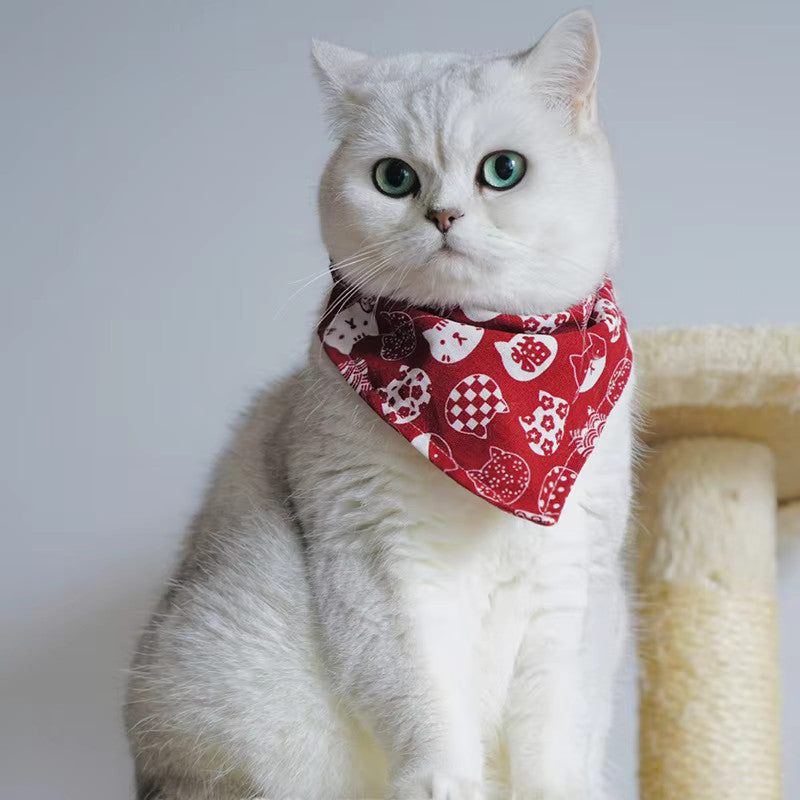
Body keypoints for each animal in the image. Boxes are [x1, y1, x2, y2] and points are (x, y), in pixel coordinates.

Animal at [128, 10, 636, 800]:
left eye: (503, 170)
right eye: (394, 179)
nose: (444, 216)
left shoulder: (570, 587)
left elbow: (550, 738)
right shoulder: (377, 562)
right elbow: (423, 703)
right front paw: (443, 786)